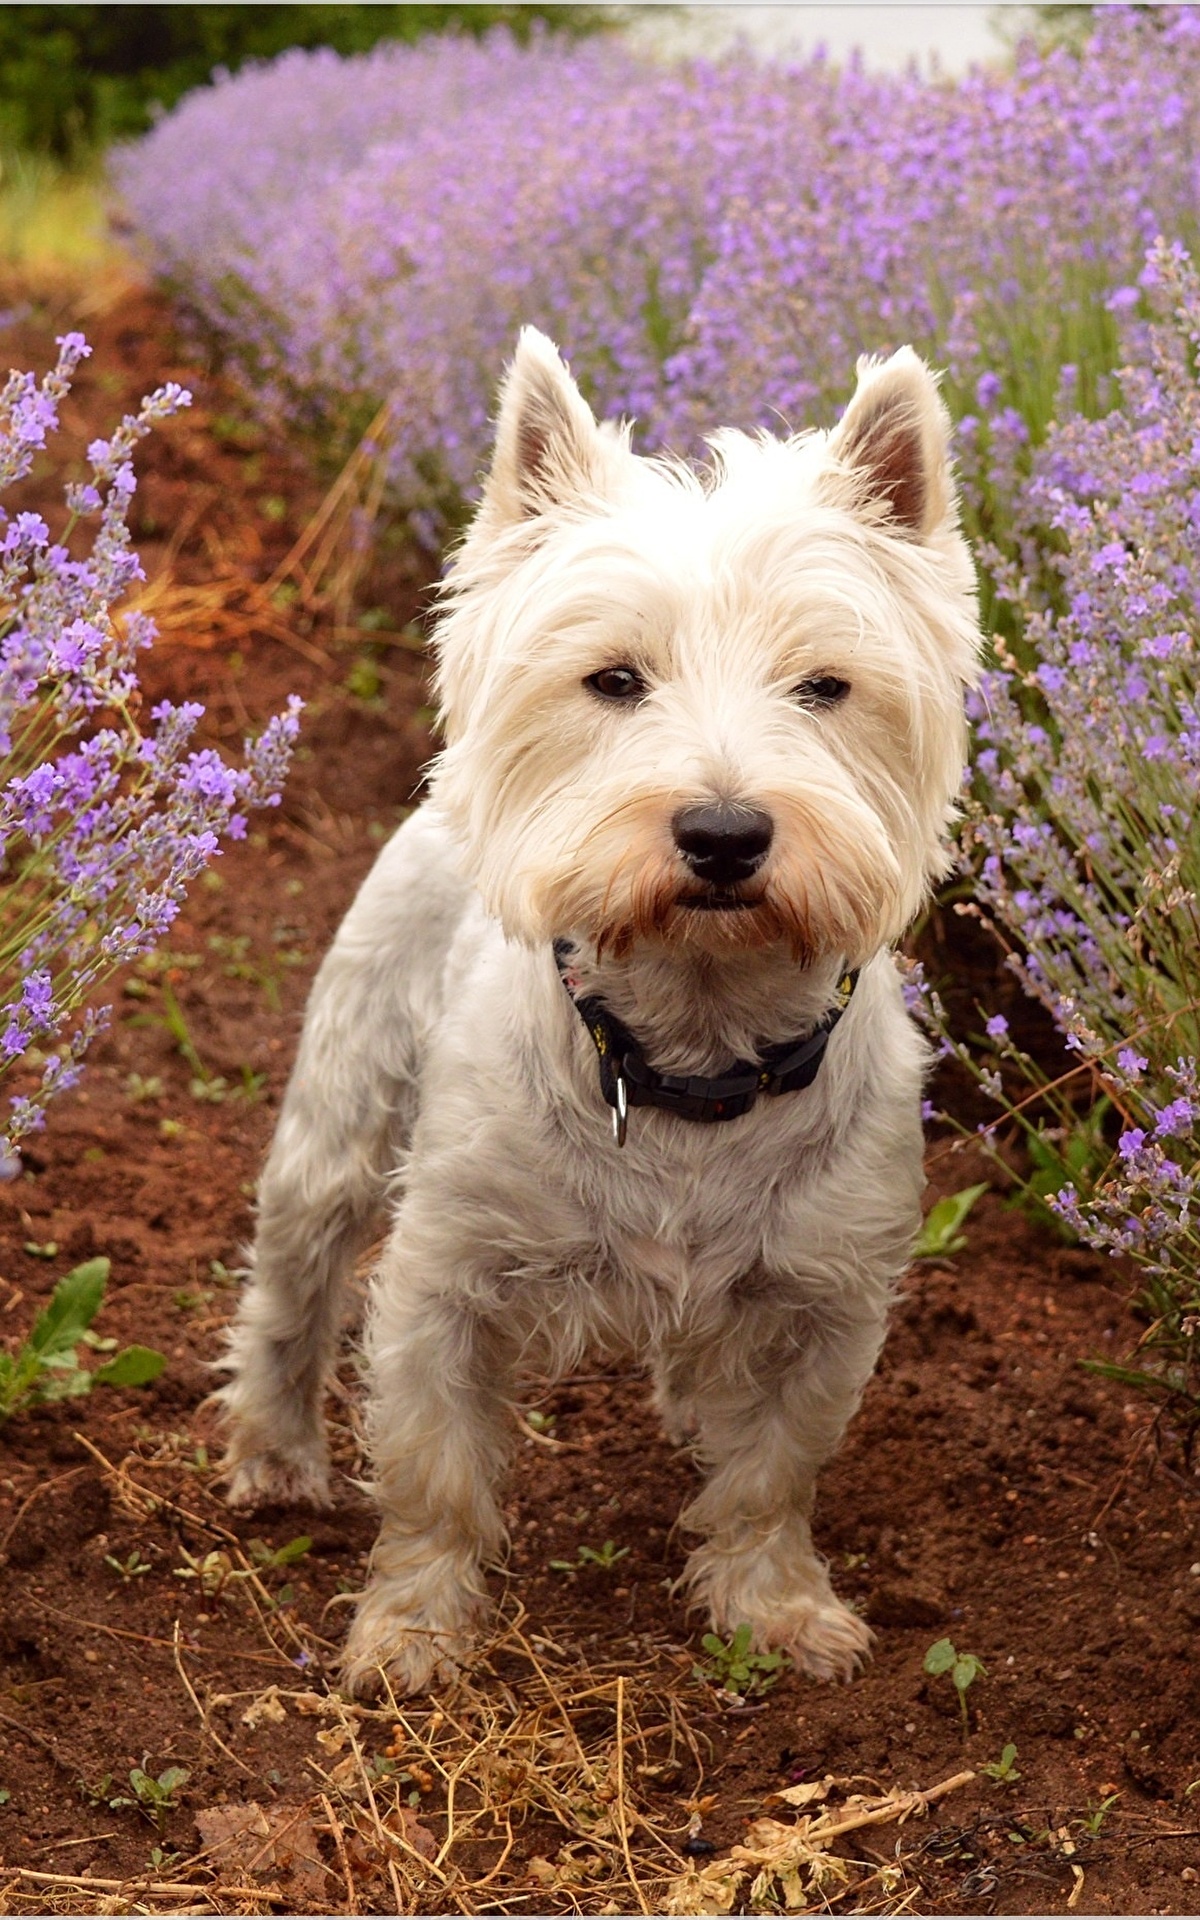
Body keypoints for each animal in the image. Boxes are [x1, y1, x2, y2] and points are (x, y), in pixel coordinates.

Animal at [219, 334, 979, 1697]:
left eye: (826, 687)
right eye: (614, 681)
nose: (724, 833)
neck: (690, 1049)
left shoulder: (832, 1295)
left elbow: (773, 1470)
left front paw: (779, 1611)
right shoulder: (445, 1276)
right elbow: (434, 1470)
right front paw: (410, 1634)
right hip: (344, 1102)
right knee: (291, 1278)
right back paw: (272, 1451)